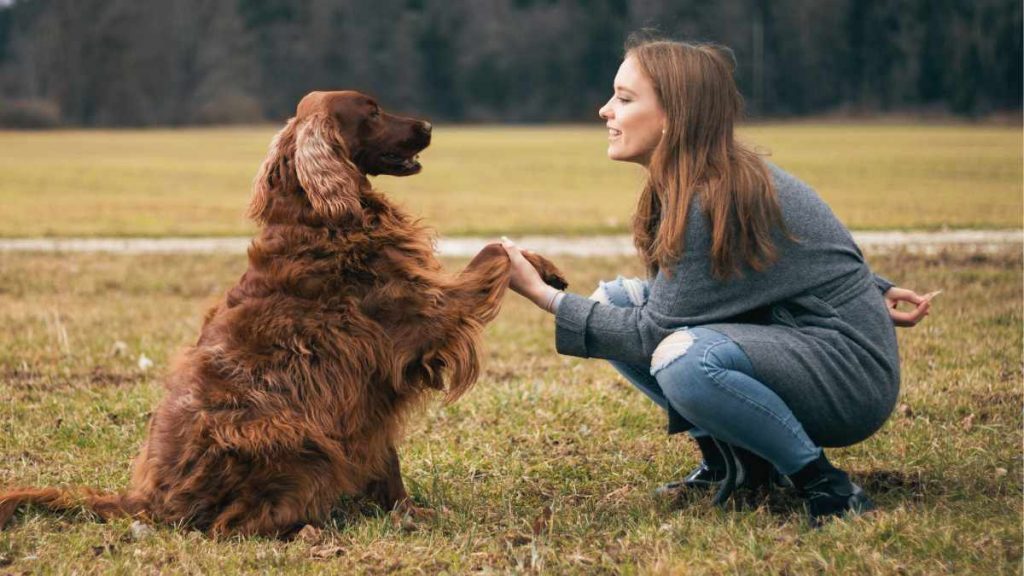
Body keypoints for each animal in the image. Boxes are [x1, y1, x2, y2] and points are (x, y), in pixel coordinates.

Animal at [0, 88, 569, 532]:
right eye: (372, 111)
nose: (428, 126)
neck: (321, 218)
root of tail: (148, 500)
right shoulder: (425, 316)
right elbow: (493, 254)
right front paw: (535, 266)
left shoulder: (367, 392)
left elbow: (387, 463)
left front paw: (406, 513)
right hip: (294, 438)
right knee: (231, 526)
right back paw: (309, 528)